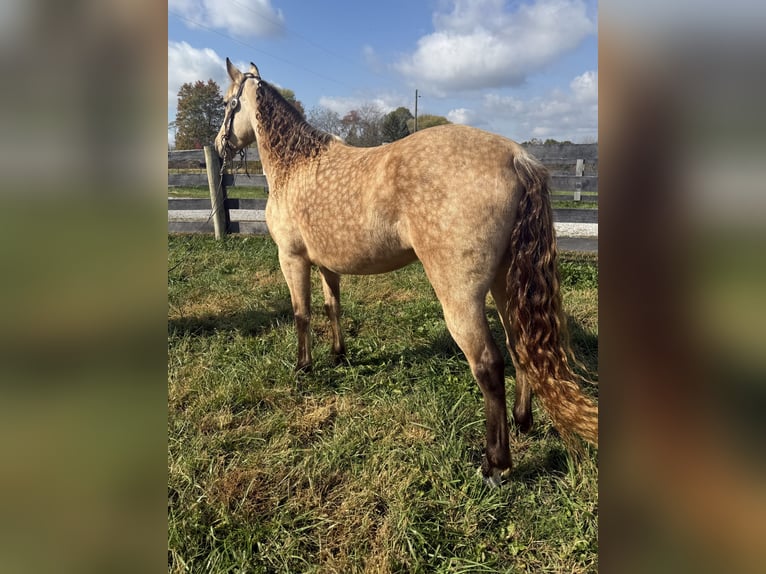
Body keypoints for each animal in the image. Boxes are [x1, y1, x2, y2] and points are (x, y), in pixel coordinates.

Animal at [215, 59, 597, 485]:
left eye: (227, 103)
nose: (218, 145)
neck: (296, 165)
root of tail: (516, 157)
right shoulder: (328, 265)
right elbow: (333, 307)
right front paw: (338, 355)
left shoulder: (292, 258)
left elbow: (302, 315)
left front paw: (303, 367)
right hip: (505, 286)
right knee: (520, 349)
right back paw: (522, 421)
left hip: (460, 298)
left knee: (489, 365)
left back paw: (494, 464)